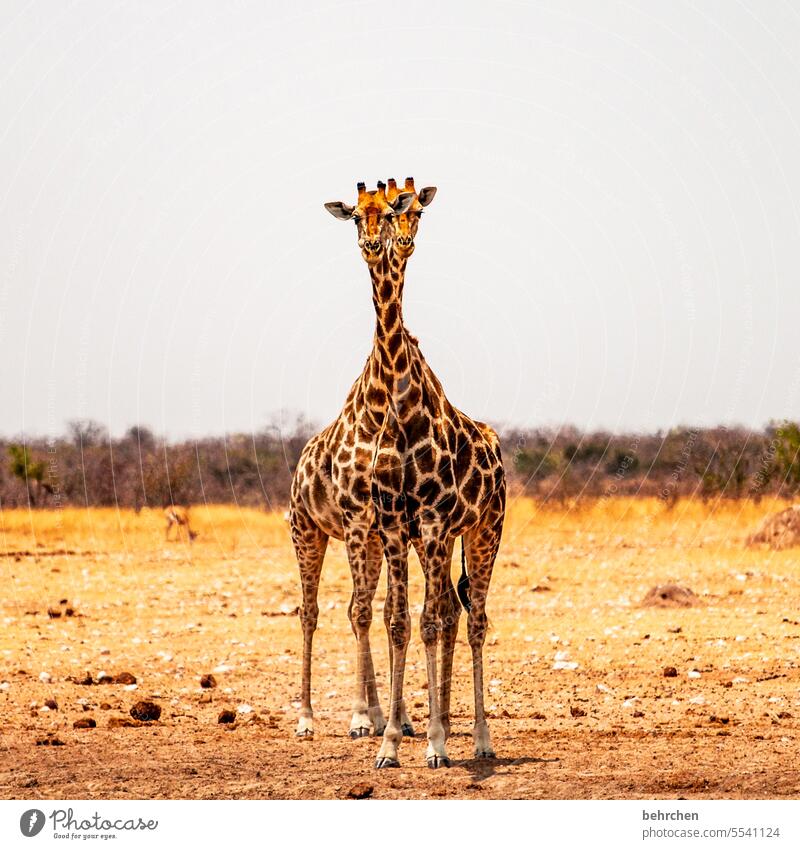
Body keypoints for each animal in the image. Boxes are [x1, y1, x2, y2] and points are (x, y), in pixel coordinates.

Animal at [294, 179, 506, 768]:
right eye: (355, 216)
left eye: (399, 210)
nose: (381, 244)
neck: (393, 411)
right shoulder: (385, 524)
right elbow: (393, 618)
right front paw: (385, 736)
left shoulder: (427, 523)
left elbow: (424, 620)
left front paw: (431, 740)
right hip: (311, 530)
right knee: (321, 610)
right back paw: (311, 719)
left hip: (484, 531)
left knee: (472, 617)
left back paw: (478, 737)